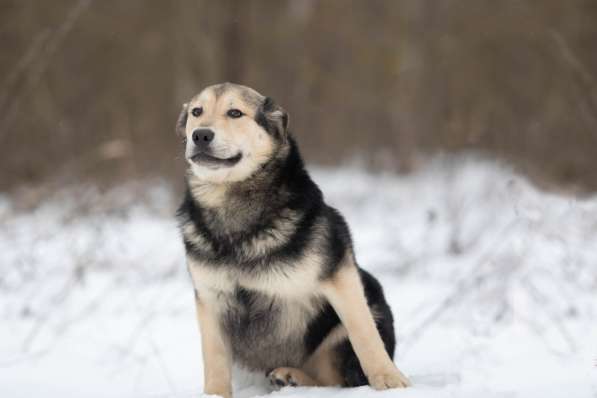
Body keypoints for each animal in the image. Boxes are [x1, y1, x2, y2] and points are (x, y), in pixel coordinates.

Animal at [175, 82, 412, 396]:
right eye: (196, 112)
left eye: (235, 113)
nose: (200, 135)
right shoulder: (210, 298)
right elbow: (214, 360)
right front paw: (213, 394)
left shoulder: (340, 275)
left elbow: (363, 334)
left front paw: (389, 379)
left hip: (365, 301)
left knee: (334, 378)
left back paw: (292, 377)